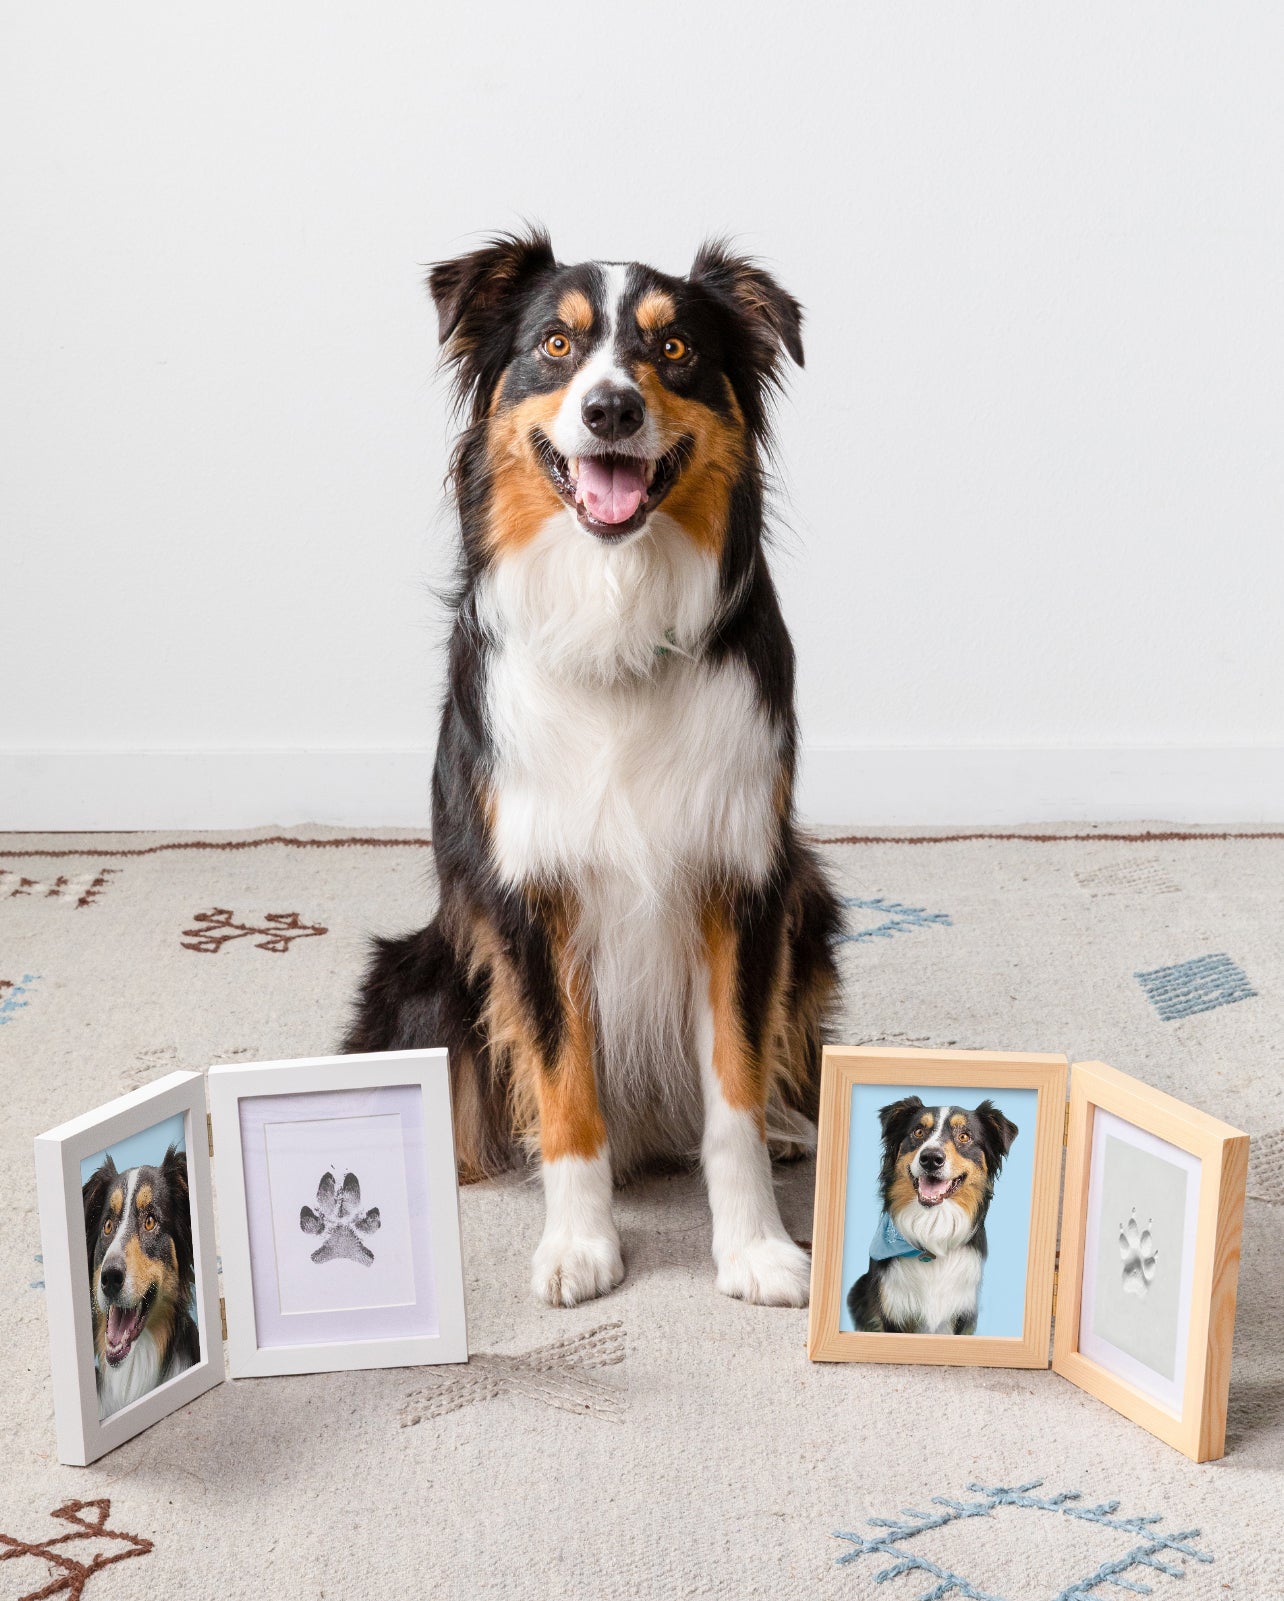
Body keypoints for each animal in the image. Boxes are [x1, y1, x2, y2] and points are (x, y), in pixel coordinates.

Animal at [339, 236, 838, 1312]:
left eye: (676, 347)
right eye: (557, 345)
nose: (611, 408)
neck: (614, 615)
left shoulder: (744, 878)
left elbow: (734, 1089)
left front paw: (756, 1249)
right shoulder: (531, 891)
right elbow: (566, 1088)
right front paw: (580, 1245)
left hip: (811, 899)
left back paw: (793, 1125)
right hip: (420, 965)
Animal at [845, 1095, 1018, 1332]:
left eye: (964, 1136)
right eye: (918, 1132)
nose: (931, 1158)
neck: (932, 1229)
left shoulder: (962, 1312)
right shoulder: (893, 1312)